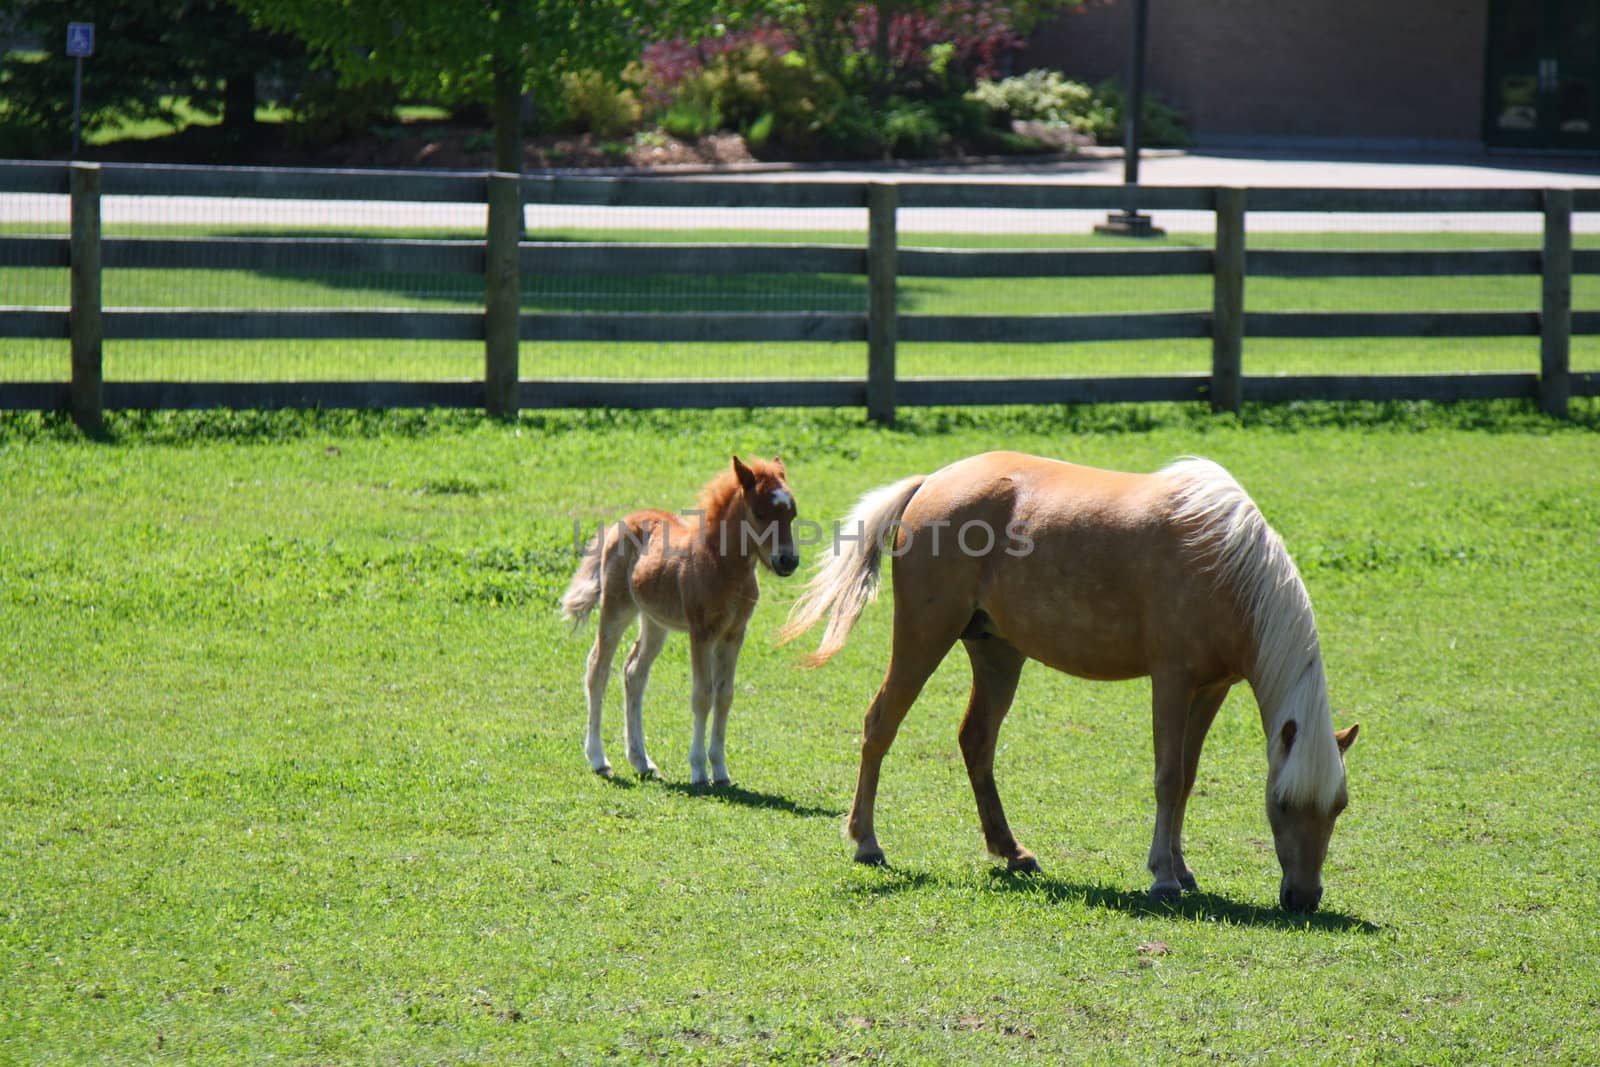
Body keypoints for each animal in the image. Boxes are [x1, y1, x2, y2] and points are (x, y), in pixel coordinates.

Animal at [563, 454, 800, 790]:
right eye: (760, 512)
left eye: (792, 514)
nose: (788, 561)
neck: (723, 566)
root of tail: (618, 524)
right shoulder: (701, 633)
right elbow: (702, 695)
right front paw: (699, 771)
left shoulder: (734, 634)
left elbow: (724, 695)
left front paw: (721, 771)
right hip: (617, 608)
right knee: (598, 668)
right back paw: (599, 760)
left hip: (654, 621)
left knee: (634, 672)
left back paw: (642, 760)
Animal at [780, 454, 1356, 915]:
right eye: (1282, 804)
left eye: (1339, 806)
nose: (1304, 898)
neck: (1225, 564)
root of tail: (930, 483)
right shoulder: (1171, 680)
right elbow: (1168, 777)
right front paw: (1163, 876)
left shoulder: (1213, 688)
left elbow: (1188, 778)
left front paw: (1182, 868)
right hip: (924, 638)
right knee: (880, 725)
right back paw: (866, 842)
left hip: (997, 653)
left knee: (976, 741)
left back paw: (1011, 852)